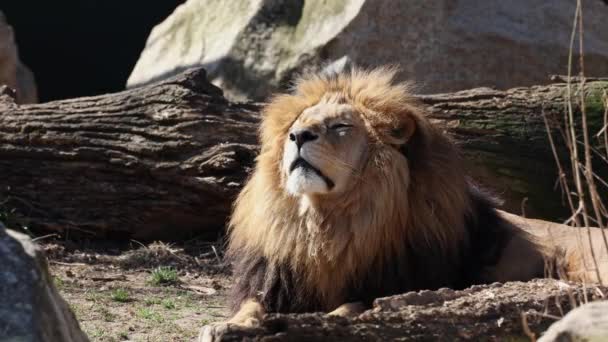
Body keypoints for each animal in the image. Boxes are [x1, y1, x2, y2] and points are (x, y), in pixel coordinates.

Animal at [200, 66, 608, 340]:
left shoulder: (394, 283)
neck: (328, 223)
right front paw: (224, 326)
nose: (298, 136)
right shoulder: (273, 280)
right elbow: (250, 305)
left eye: (340, 127)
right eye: (294, 126)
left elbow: (351, 306)